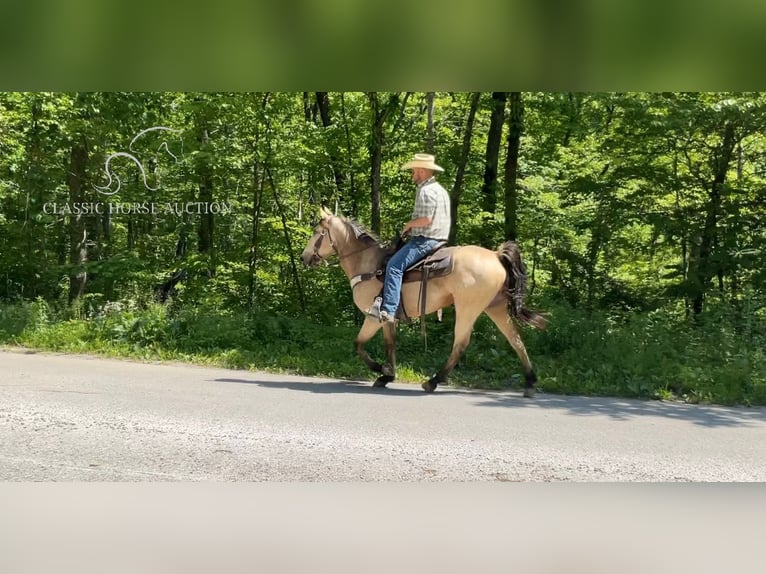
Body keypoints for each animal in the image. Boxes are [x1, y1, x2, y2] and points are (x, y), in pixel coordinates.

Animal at [300, 209, 544, 398]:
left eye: (317, 233)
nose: (304, 257)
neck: (367, 264)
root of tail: (495, 255)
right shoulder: (388, 318)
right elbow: (390, 344)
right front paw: (387, 375)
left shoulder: (374, 315)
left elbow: (358, 344)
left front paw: (382, 369)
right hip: (495, 307)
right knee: (516, 340)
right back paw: (530, 383)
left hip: (468, 308)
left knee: (461, 344)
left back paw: (433, 381)